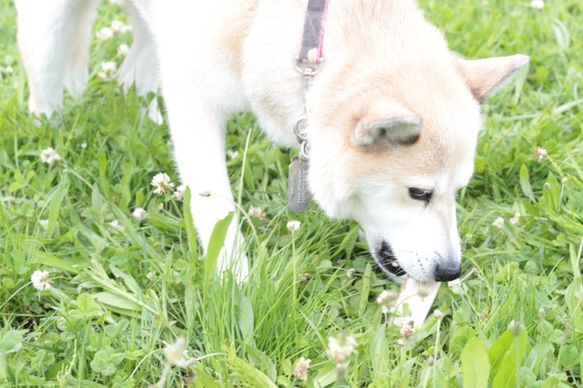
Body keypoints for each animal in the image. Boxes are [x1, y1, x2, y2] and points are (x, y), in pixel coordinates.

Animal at [17, 0, 528, 282]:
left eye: (458, 192)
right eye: (419, 193)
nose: (451, 272)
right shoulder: (194, 101)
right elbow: (216, 209)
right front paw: (233, 281)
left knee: (132, 75)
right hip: (48, 29)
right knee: (47, 91)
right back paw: (51, 144)